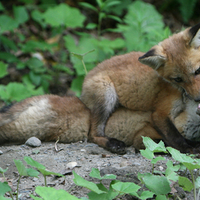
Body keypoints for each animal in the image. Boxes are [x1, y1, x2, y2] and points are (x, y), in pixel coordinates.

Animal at [0, 23, 200, 155]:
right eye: (178, 79)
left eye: (197, 71)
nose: (197, 98)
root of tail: (82, 91)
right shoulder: (160, 112)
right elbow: (173, 136)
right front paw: (188, 147)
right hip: (107, 95)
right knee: (93, 134)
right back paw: (112, 144)